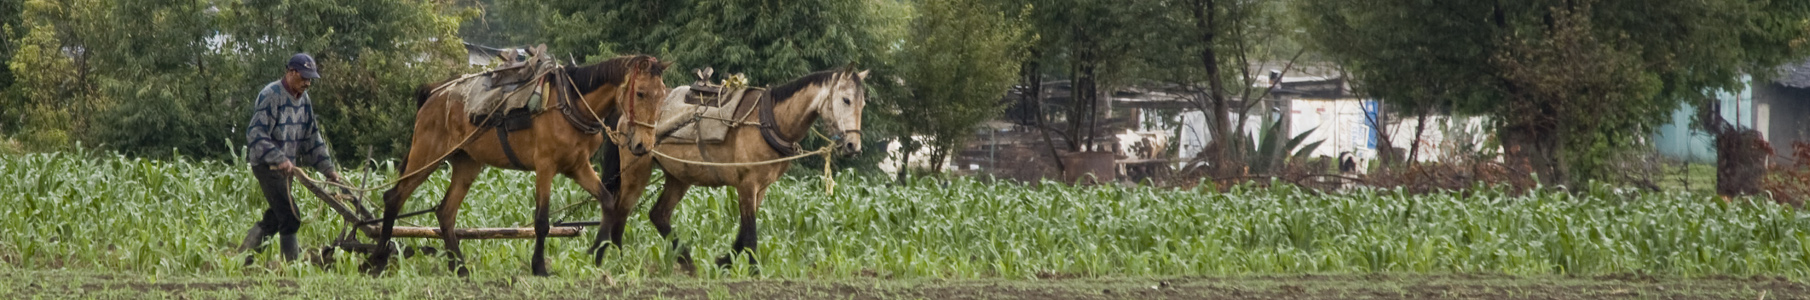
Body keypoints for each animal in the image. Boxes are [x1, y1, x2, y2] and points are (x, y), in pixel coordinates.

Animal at [365, 54, 673, 276]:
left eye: (663, 93)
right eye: (641, 93)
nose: (643, 145)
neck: (571, 103)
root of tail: (434, 94)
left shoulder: (578, 166)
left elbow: (608, 202)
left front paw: (596, 253)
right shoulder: (545, 166)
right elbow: (542, 222)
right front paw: (540, 267)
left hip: (467, 164)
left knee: (445, 213)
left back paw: (460, 267)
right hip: (427, 155)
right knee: (394, 197)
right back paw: (377, 260)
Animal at [593, 66, 868, 271]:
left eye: (863, 103)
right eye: (846, 100)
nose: (853, 146)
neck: (769, 121)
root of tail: (624, 113)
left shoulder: (761, 187)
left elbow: (743, 234)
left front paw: (723, 262)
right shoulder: (747, 183)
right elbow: (750, 233)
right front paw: (755, 271)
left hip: (679, 176)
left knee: (658, 214)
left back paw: (686, 261)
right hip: (636, 171)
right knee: (619, 212)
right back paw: (614, 260)